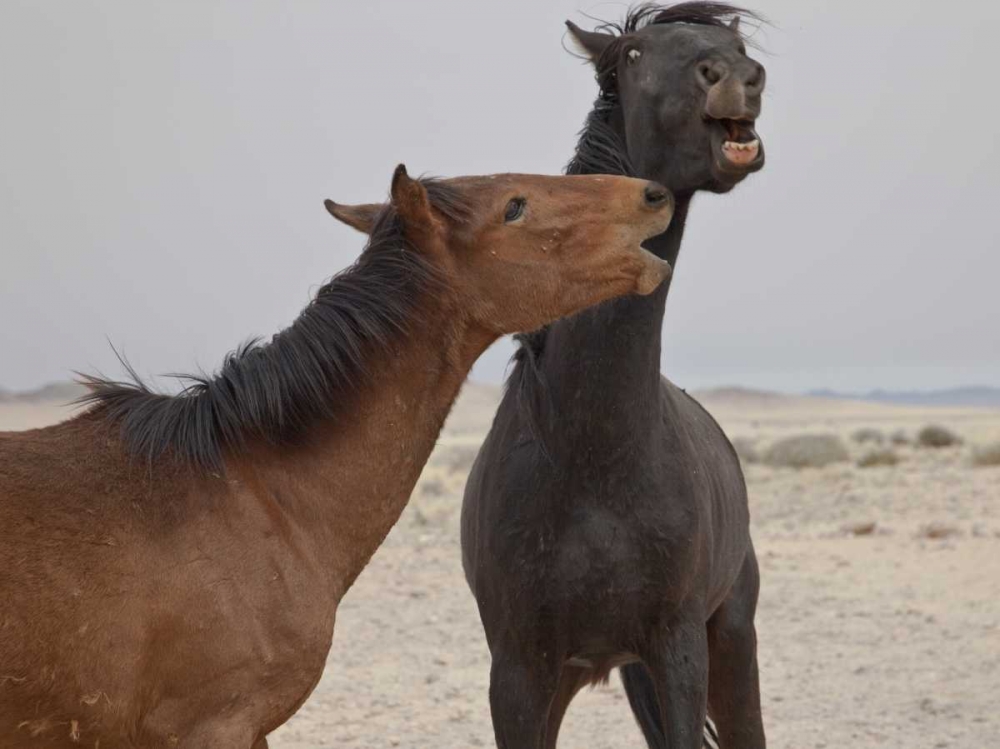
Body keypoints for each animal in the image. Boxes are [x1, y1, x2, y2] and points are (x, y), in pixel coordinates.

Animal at [460, 4, 769, 748]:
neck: (593, 458)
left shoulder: (679, 650)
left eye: (737, 42)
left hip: (730, 639)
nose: (739, 79)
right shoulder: (520, 671)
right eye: (632, 53)